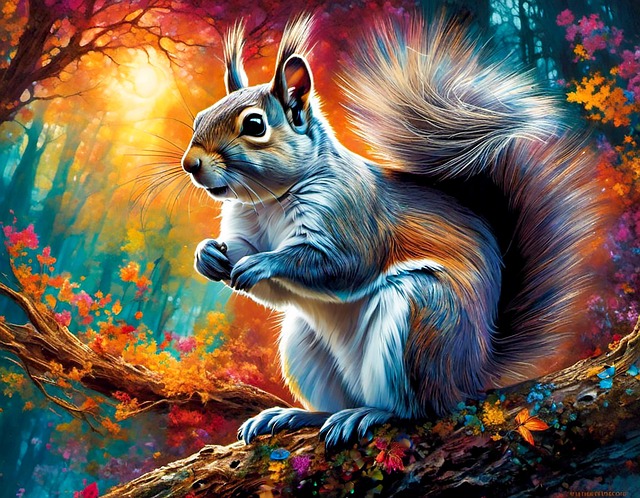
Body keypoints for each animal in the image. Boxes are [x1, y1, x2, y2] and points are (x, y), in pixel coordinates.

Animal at [181, 13, 606, 447]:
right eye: (199, 118)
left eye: (255, 124)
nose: (190, 163)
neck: (269, 201)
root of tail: (471, 374)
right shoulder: (245, 227)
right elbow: (248, 260)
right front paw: (207, 254)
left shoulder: (351, 216)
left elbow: (341, 265)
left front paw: (262, 263)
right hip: (305, 345)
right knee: (332, 404)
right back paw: (296, 416)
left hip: (420, 321)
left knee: (413, 409)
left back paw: (368, 414)